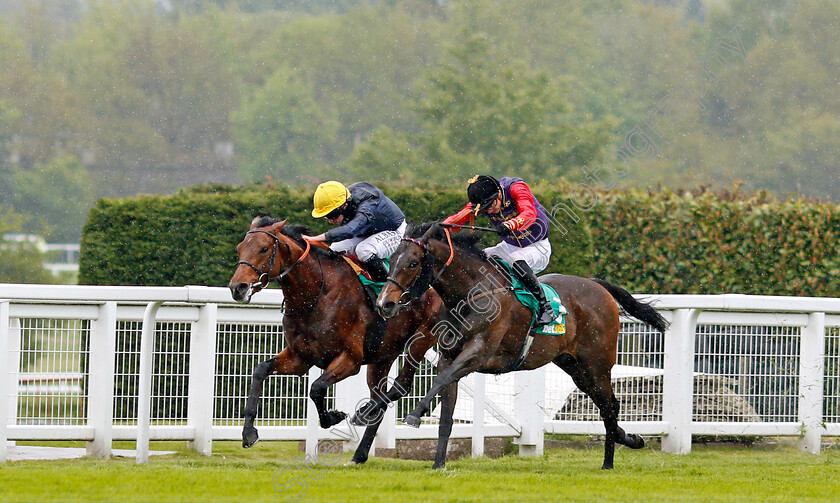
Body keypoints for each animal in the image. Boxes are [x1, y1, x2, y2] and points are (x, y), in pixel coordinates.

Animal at [226, 217, 442, 464]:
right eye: (239, 248)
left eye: (263, 249)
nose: (237, 288)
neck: (317, 293)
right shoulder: (299, 358)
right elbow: (261, 369)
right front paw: (248, 432)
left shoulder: (350, 360)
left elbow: (316, 388)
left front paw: (334, 416)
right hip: (382, 358)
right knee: (379, 398)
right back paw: (359, 453)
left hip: (421, 339)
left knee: (402, 384)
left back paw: (362, 416)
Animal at [378, 222, 668, 470]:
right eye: (392, 260)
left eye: (413, 262)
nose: (385, 303)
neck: (472, 291)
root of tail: (598, 286)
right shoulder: (449, 356)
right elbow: (446, 414)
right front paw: (438, 464)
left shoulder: (478, 354)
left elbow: (441, 381)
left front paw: (415, 416)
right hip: (575, 367)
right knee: (609, 405)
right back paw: (629, 440)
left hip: (597, 364)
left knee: (609, 406)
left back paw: (609, 461)